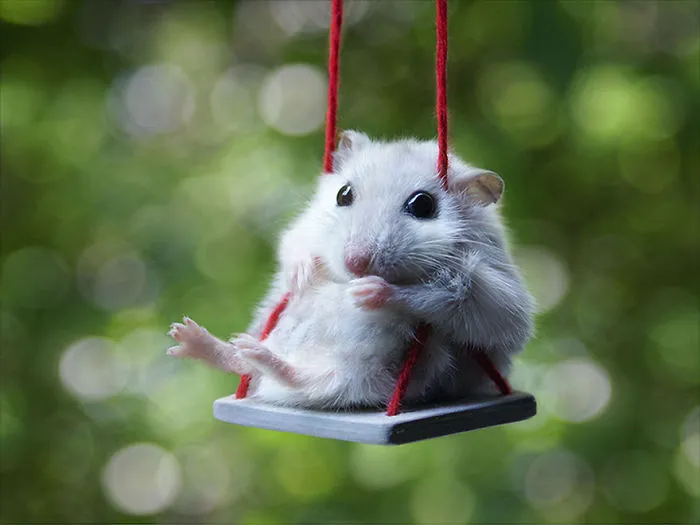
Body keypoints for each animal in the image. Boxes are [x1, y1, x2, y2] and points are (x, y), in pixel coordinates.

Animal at [168, 131, 535, 409]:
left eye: (423, 205)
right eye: (343, 194)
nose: (355, 263)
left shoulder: (494, 287)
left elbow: (454, 297)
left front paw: (368, 292)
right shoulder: (303, 226)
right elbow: (295, 245)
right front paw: (302, 274)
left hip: (370, 371)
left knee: (318, 381)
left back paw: (253, 353)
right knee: (250, 365)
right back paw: (192, 338)